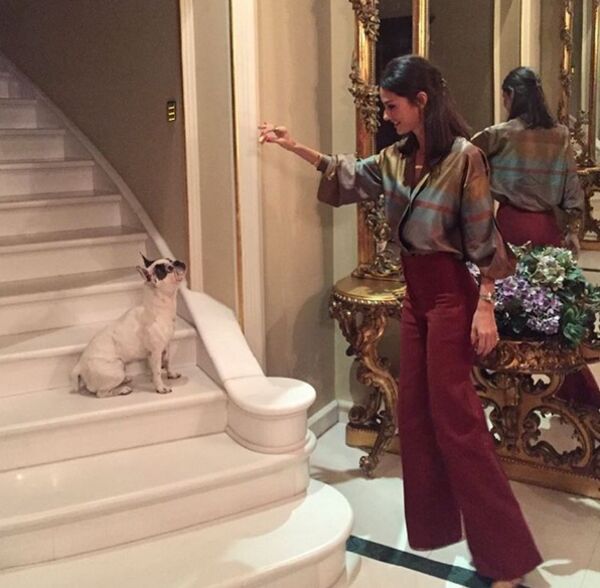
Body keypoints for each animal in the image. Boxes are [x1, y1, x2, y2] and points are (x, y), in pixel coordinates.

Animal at [71, 254, 187, 397]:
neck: (158, 308)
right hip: (116, 369)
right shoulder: (155, 352)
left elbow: (168, 361)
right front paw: (160, 387)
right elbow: (157, 372)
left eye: (170, 260)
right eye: (168, 270)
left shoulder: (166, 345)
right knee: (102, 393)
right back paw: (122, 389)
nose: (177, 262)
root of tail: (79, 366)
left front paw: (171, 374)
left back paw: (125, 380)